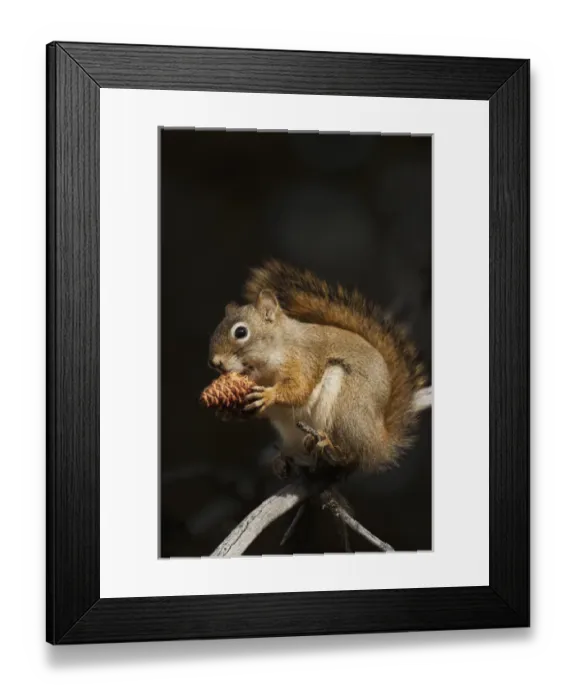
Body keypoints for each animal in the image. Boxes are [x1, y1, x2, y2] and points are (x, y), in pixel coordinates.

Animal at [207, 259, 427, 474]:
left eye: (241, 332)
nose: (214, 362)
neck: (263, 368)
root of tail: (379, 444)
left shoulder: (303, 359)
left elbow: (299, 388)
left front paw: (269, 395)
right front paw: (229, 412)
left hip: (347, 409)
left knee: (353, 453)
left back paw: (331, 447)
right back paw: (285, 460)